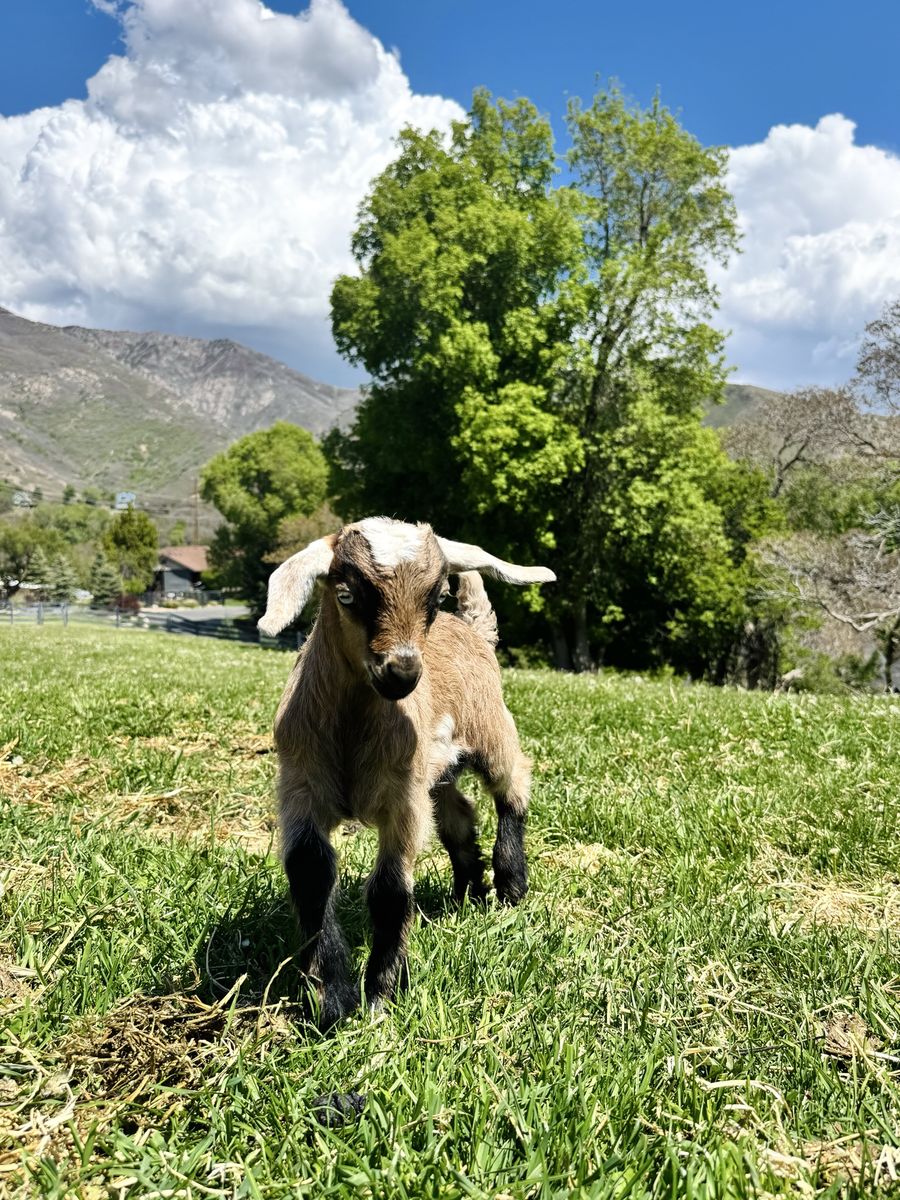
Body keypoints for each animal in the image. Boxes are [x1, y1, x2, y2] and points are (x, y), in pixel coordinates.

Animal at [258, 517, 555, 1025]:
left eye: (435, 598)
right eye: (347, 594)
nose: (402, 672)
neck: (352, 728)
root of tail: (474, 630)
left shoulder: (402, 800)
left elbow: (391, 891)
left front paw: (380, 994)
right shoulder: (300, 784)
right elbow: (311, 872)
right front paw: (333, 1000)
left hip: (492, 730)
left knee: (512, 785)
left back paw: (511, 884)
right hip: (437, 772)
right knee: (459, 814)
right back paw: (467, 890)